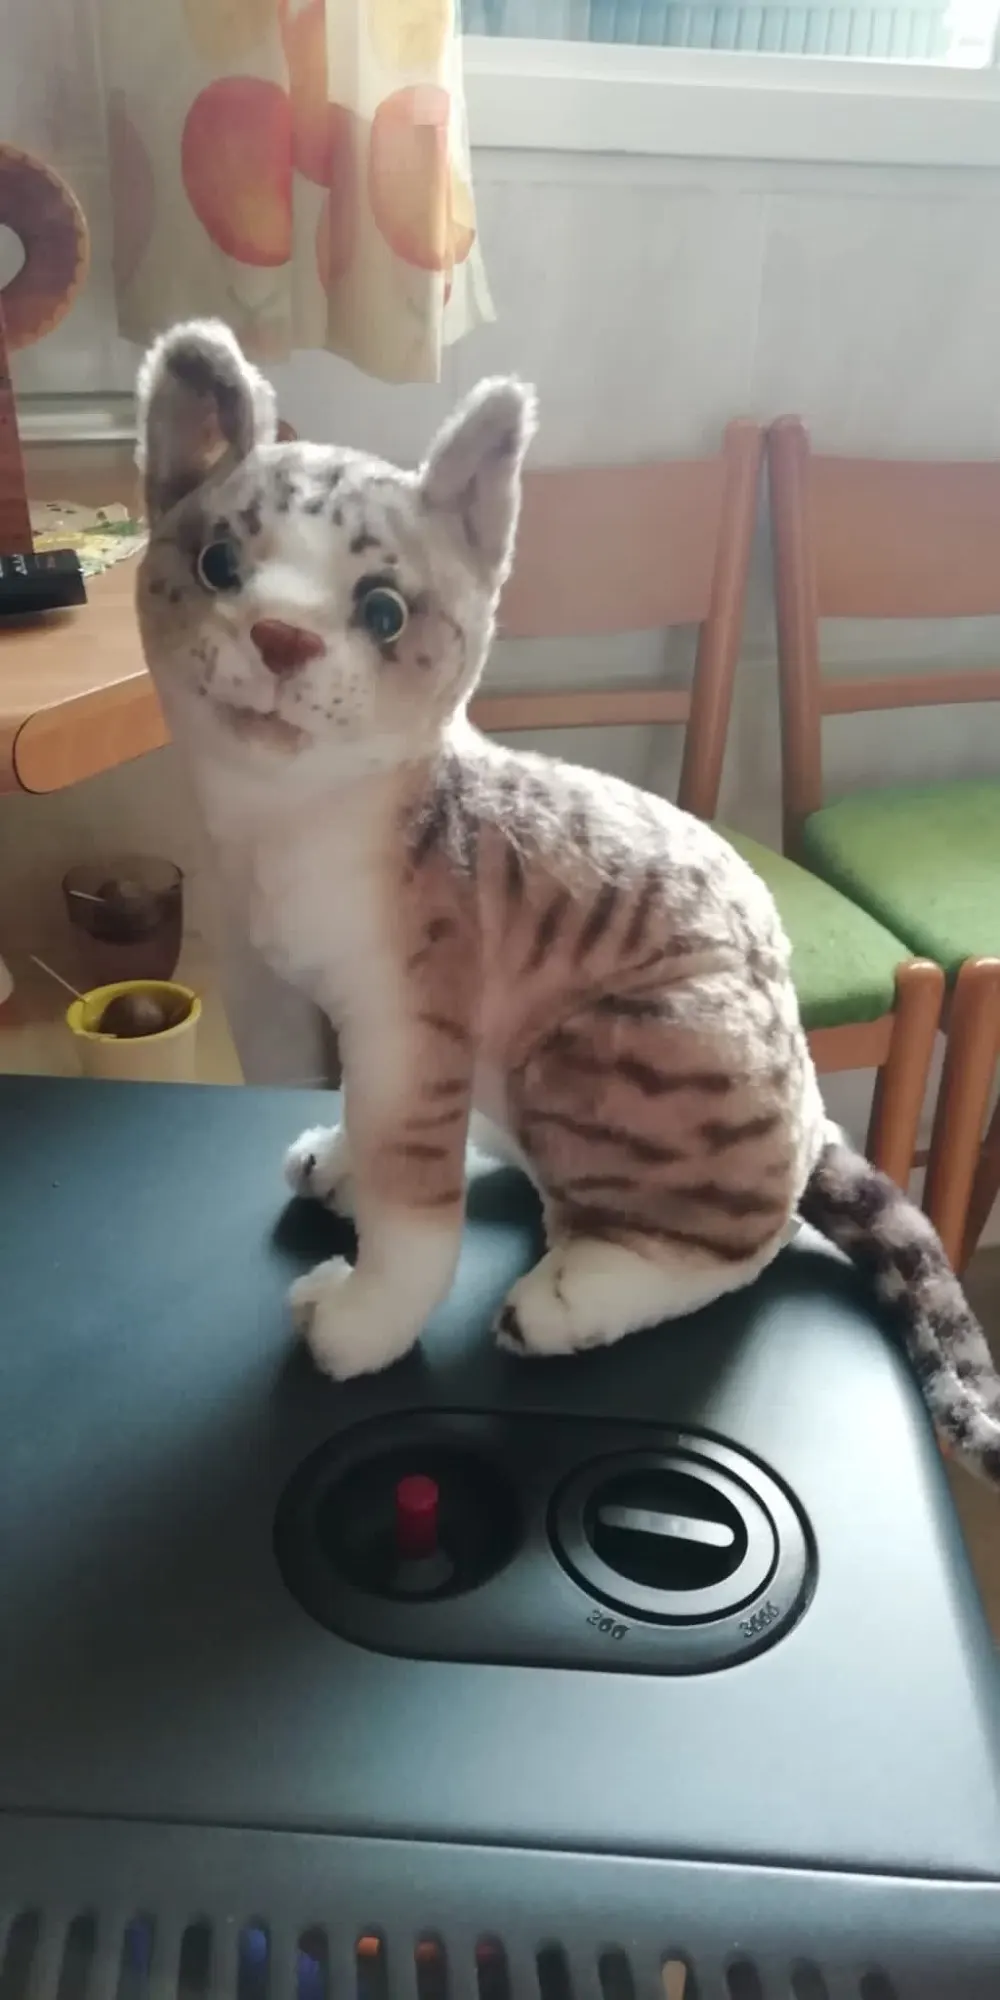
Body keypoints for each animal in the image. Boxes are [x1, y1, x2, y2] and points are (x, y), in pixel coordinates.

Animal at [136, 319, 1000, 1484]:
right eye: (219, 563)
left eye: (382, 610)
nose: (280, 638)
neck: (293, 818)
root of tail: (812, 1099)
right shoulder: (379, 1033)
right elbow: (378, 1127)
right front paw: (350, 1162)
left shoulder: (416, 1019)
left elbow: (417, 1216)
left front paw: (364, 1324)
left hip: (611, 1043)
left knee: (751, 1233)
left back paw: (576, 1296)